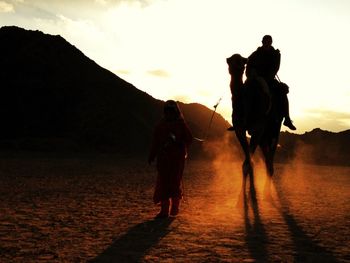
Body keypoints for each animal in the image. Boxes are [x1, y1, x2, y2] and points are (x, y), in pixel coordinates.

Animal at [227, 53, 284, 200]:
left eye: (241, 61)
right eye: (230, 60)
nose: (235, 66)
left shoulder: (258, 129)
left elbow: (248, 162)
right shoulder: (240, 129)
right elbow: (247, 162)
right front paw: (244, 193)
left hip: (274, 130)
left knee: (270, 162)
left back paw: (267, 191)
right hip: (264, 137)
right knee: (267, 160)